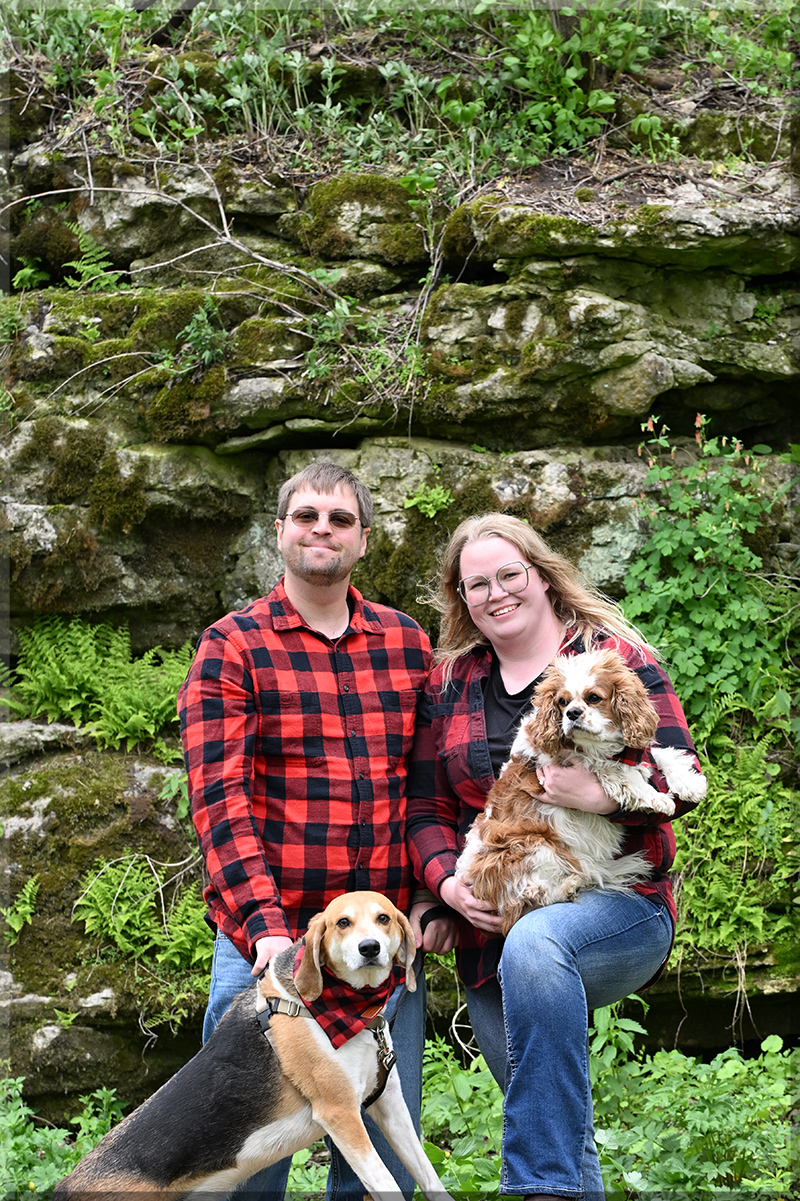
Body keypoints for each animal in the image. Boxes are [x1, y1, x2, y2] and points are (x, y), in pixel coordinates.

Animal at [53, 891, 454, 1201]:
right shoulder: (341, 1114)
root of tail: (63, 1188)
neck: (346, 1010)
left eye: (383, 918)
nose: (369, 948)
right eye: (343, 923)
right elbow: (388, 1183)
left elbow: (429, 1176)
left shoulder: (390, 1106)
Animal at [456, 648, 707, 933]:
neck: (599, 744)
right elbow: (616, 771)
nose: (573, 713)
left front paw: (689, 782)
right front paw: (656, 797)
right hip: (532, 845)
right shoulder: (558, 758)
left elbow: (658, 754)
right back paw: (568, 886)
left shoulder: (630, 750)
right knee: (527, 897)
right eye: (562, 702)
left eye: (594, 698)